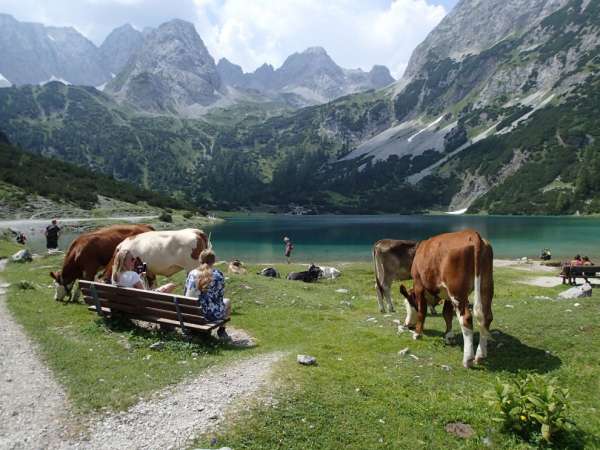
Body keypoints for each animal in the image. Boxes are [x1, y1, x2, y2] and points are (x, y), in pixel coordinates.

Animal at [398, 230, 492, 368]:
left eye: (408, 304)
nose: (407, 324)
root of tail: (472, 234)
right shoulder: (447, 294)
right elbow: (446, 314)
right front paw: (449, 336)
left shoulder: (419, 284)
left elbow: (422, 312)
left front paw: (417, 334)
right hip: (486, 285)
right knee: (486, 317)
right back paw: (480, 356)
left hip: (457, 291)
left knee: (466, 319)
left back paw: (468, 360)